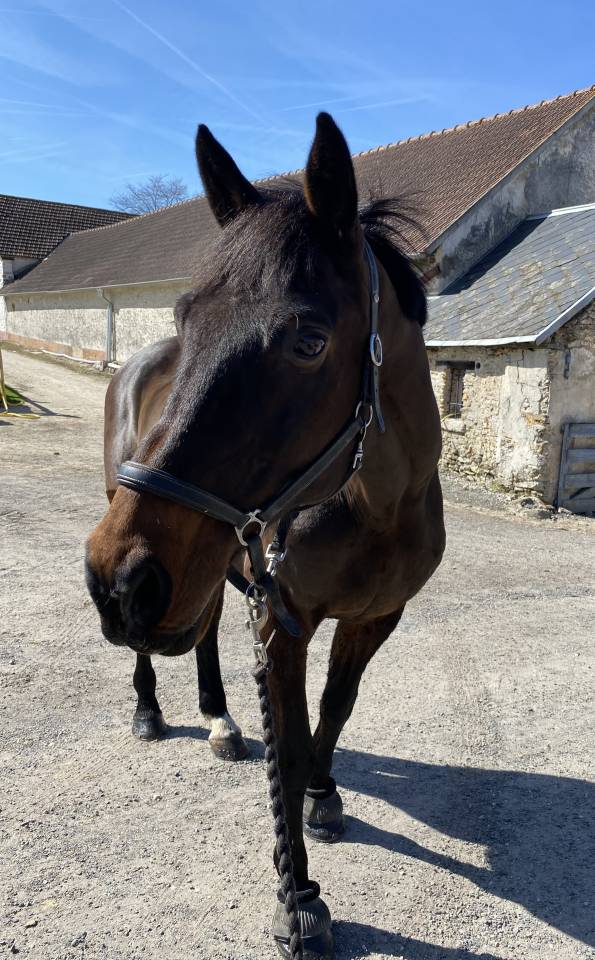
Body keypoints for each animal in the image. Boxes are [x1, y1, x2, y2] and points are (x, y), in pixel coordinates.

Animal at [85, 112, 445, 959]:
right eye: (185, 318)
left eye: (308, 339)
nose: (117, 580)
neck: (378, 502)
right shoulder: (285, 623)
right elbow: (290, 734)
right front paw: (299, 897)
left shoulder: (375, 617)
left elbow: (334, 710)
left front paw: (321, 794)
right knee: (157, 647)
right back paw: (152, 712)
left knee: (204, 628)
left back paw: (220, 716)